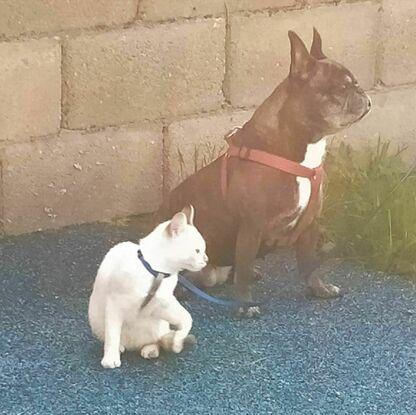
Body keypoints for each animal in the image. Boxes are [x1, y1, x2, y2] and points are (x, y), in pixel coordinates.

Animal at [87, 206, 207, 368]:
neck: (156, 272)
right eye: (197, 251)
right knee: (115, 338)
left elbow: (187, 319)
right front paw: (110, 359)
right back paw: (120, 348)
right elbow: (113, 335)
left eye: (203, 250)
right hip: (97, 320)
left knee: (158, 340)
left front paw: (177, 341)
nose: (206, 260)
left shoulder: (160, 304)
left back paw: (150, 350)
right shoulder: (115, 305)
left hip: (157, 323)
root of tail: (133, 345)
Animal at [159, 28, 370, 316]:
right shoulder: (252, 226)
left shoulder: (310, 223)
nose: (363, 92)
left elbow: (309, 263)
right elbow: (245, 270)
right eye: (342, 88)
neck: (300, 151)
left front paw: (319, 289)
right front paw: (245, 306)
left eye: (355, 83)